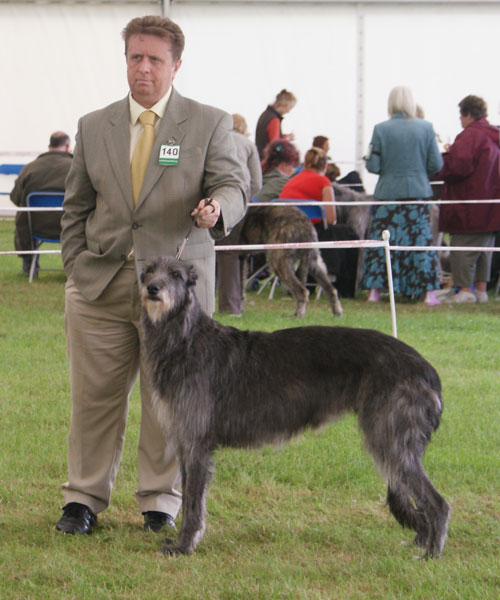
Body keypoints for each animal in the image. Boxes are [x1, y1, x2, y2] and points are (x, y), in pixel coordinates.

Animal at [140, 256, 450, 556]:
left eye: (176, 275)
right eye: (149, 271)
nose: (152, 289)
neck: (186, 339)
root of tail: (427, 369)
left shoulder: (197, 444)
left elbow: (194, 502)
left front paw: (183, 547)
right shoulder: (185, 442)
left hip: (390, 438)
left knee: (438, 503)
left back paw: (431, 554)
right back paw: (421, 542)